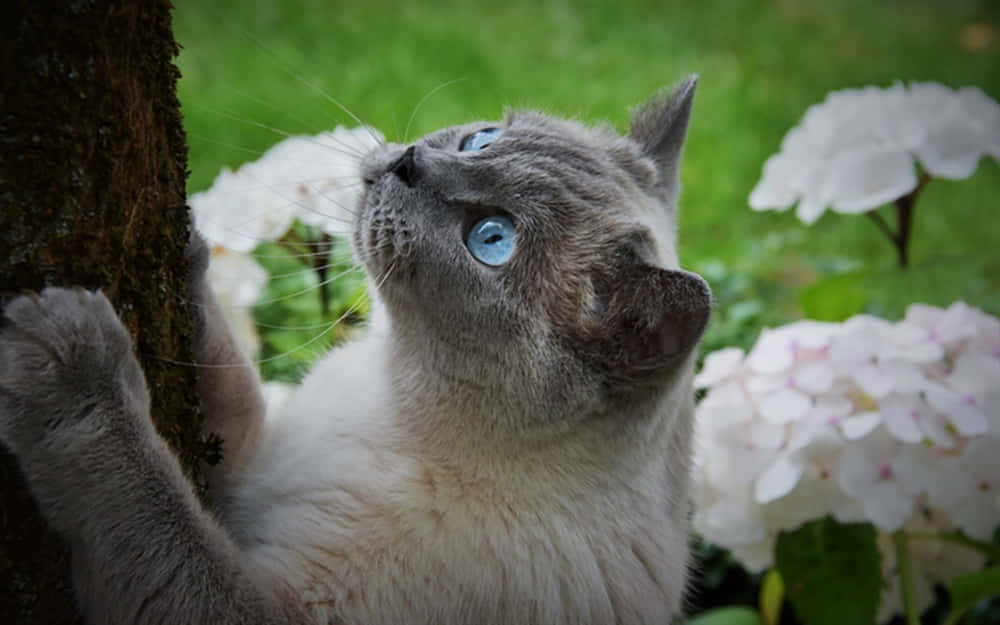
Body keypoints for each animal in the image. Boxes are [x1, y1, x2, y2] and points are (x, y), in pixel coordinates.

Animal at [0, 77, 712, 624]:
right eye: (481, 139)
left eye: (491, 239)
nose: (407, 163)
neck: (392, 385)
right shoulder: (244, 471)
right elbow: (218, 373)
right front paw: (183, 235)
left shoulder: (266, 609)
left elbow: (150, 504)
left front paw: (71, 361)